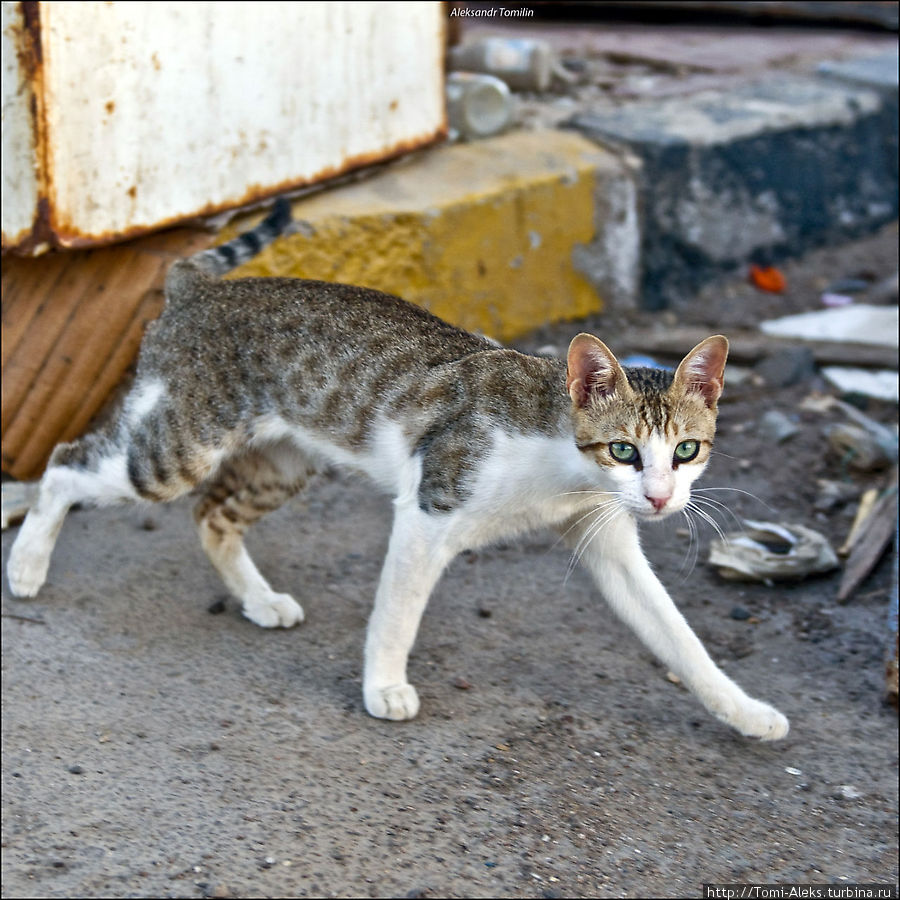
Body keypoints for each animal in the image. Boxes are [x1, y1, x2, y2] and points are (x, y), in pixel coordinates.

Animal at [5, 200, 788, 740]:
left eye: (685, 451)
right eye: (624, 450)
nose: (658, 498)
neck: (564, 464)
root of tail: (199, 287)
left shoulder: (604, 537)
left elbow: (677, 635)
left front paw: (744, 710)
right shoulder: (431, 505)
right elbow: (399, 612)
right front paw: (383, 686)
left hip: (283, 462)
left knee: (211, 514)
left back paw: (259, 600)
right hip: (179, 444)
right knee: (67, 464)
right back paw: (28, 567)